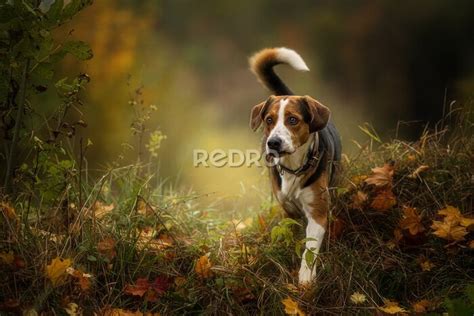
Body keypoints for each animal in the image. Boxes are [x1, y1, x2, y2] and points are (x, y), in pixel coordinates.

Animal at [248, 47, 340, 286]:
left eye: (292, 120)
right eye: (269, 120)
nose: (273, 143)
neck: (294, 167)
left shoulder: (318, 211)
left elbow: (310, 247)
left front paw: (306, 277)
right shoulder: (288, 208)